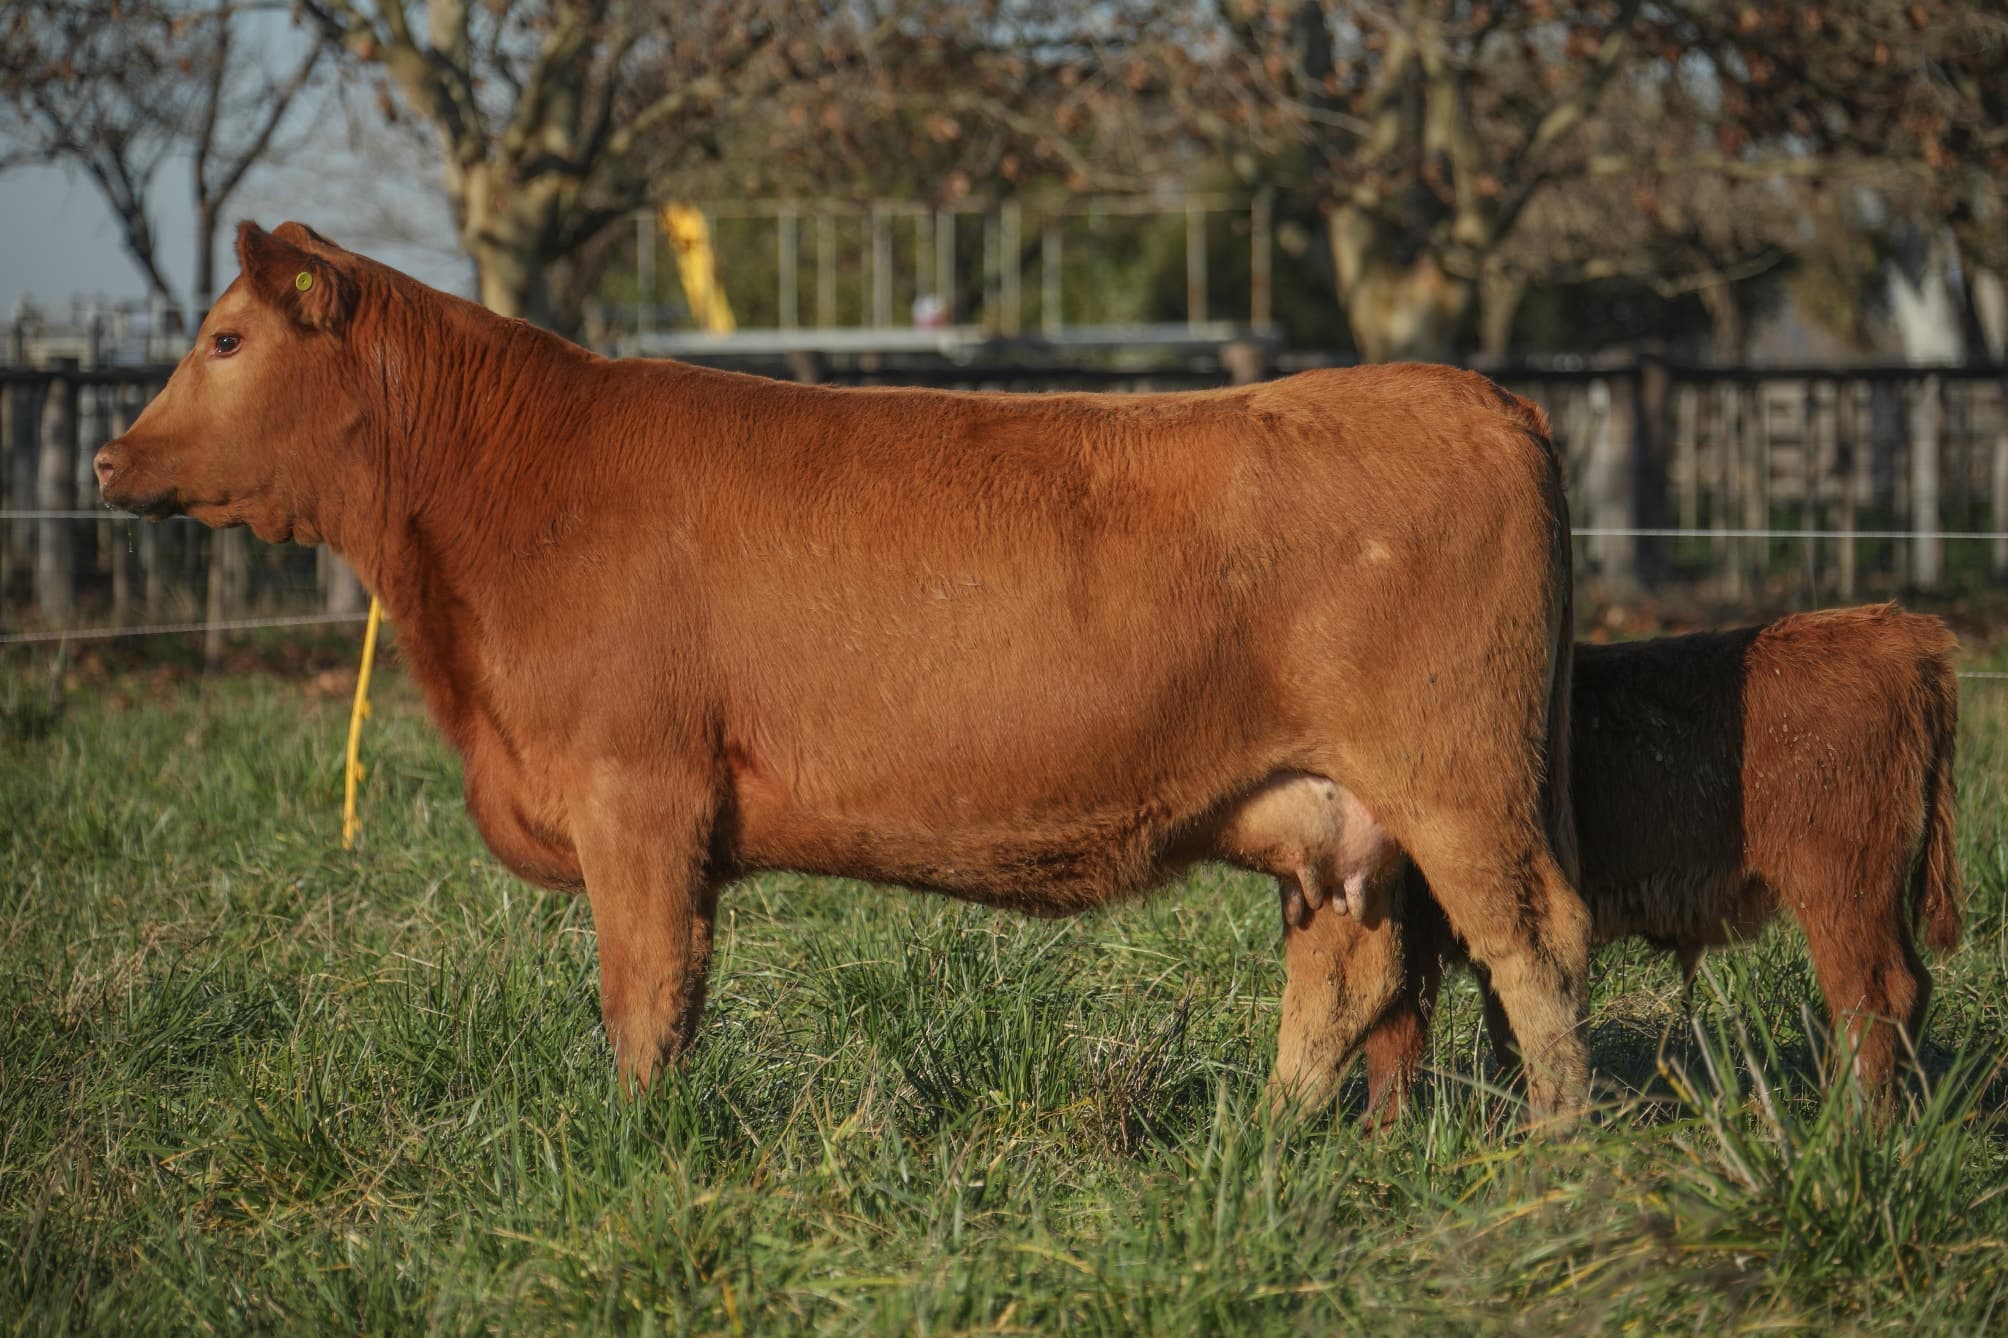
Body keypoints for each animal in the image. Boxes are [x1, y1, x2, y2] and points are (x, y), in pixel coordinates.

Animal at [95, 221, 1593, 1120]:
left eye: (225, 337)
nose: (110, 459)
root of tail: (1482, 395)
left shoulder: (637, 792)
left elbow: (647, 992)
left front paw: (634, 1142)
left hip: (1464, 779)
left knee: (1536, 947)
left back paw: (1556, 1148)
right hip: (1341, 814)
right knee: (1355, 969)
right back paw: (1275, 1140)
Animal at [1274, 605, 1962, 1124]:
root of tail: (1899, 632)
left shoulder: (1418, 924)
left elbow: (1397, 1033)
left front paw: (1380, 1138)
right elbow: (1507, 1026)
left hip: (1841, 892)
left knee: (1874, 996)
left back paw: (1856, 1128)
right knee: (1908, 988)